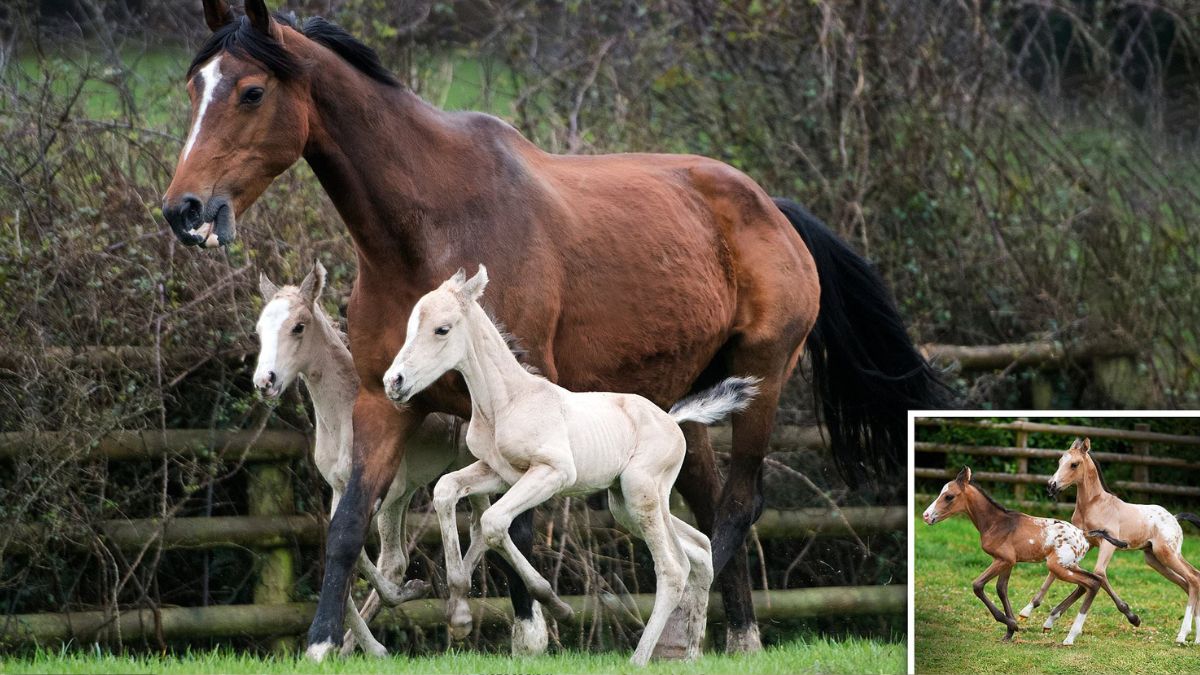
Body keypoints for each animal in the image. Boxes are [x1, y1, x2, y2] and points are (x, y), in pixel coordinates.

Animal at [254, 261, 485, 656]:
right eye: (258, 330)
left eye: (298, 326)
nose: (264, 381)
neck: (342, 411)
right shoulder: (342, 487)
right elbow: (345, 549)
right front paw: (364, 645)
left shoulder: (383, 488)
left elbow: (359, 551)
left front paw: (405, 598)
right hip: (409, 492)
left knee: (484, 524)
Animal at [382, 266, 753, 664]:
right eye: (410, 326)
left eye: (442, 329)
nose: (394, 382)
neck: (507, 401)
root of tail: (672, 419)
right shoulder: (497, 472)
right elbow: (447, 491)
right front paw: (460, 613)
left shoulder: (554, 472)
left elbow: (493, 522)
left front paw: (555, 606)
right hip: (626, 503)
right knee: (698, 547)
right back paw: (690, 655)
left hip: (641, 493)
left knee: (673, 566)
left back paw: (640, 658)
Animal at [922, 467, 1130, 645]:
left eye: (949, 496)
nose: (926, 516)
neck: (996, 523)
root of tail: (1084, 534)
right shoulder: (1009, 562)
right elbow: (1001, 589)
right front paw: (1009, 631)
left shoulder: (1003, 559)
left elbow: (978, 585)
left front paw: (1013, 625)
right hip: (1070, 565)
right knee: (1090, 582)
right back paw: (1052, 624)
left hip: (1057, 566)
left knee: (1092, 583)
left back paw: (1070, 637)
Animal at [1035, 437, 1200, 644]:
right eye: (1059, 462)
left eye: (1074, 464)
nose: (1052, 485)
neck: (1094, 505)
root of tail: (1175, 518)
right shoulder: (1086, 542)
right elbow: (1063, 571)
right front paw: (1043, 615)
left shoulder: (1108, 543)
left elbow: (1099, 573)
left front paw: (1133, 617)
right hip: (1154, 559)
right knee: (1188, 581)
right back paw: (1196, 638)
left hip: (1167, 554)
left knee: (1193, 578)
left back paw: (1182, 634)